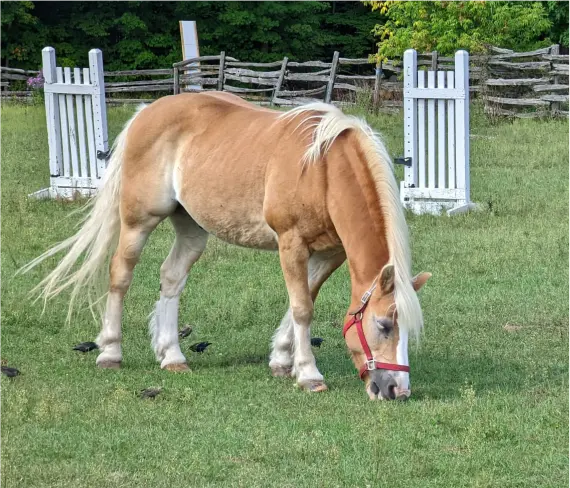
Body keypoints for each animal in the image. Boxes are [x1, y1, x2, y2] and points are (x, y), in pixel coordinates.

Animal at [22, 91, 430, 400]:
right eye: (383, 325)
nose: (396, 390)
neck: (323, 170)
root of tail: (146, 112)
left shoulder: (330, 253)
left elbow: (303, 300)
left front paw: (282, 359)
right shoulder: (292, 243)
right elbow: (301, 308)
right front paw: (308, 373)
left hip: (192, 228)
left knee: (171, 279)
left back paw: (171, 355)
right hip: (139, 222)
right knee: (120, 275)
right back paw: (110, 350)